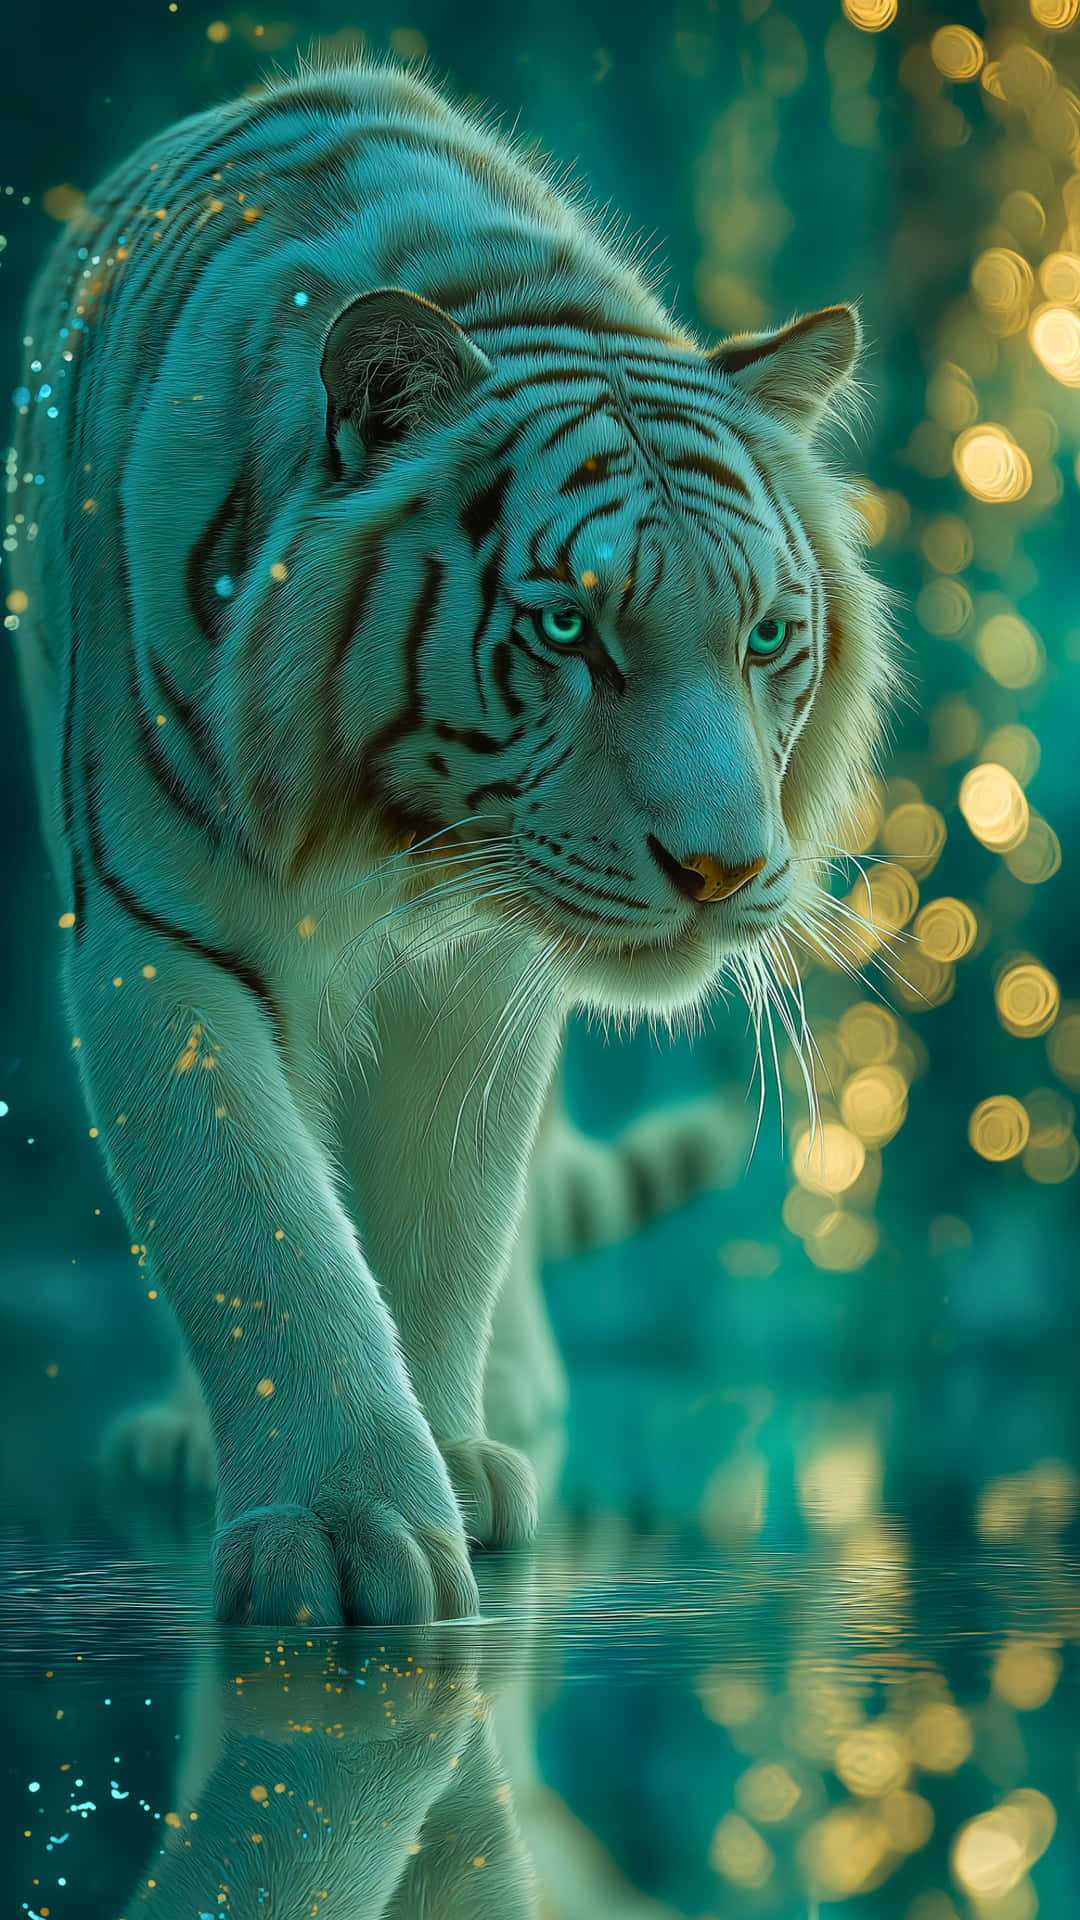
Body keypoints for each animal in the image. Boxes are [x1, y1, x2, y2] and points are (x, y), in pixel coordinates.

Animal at [9, 55, 895, 1627]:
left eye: (766, 638)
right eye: (568, 629)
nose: (724, 872)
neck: (395, 843)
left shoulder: (484, 973)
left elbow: (445, 1227)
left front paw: (449, 1472)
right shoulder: (158, 942)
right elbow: (256, 1227)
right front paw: (343, 1528)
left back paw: (513, 1407)